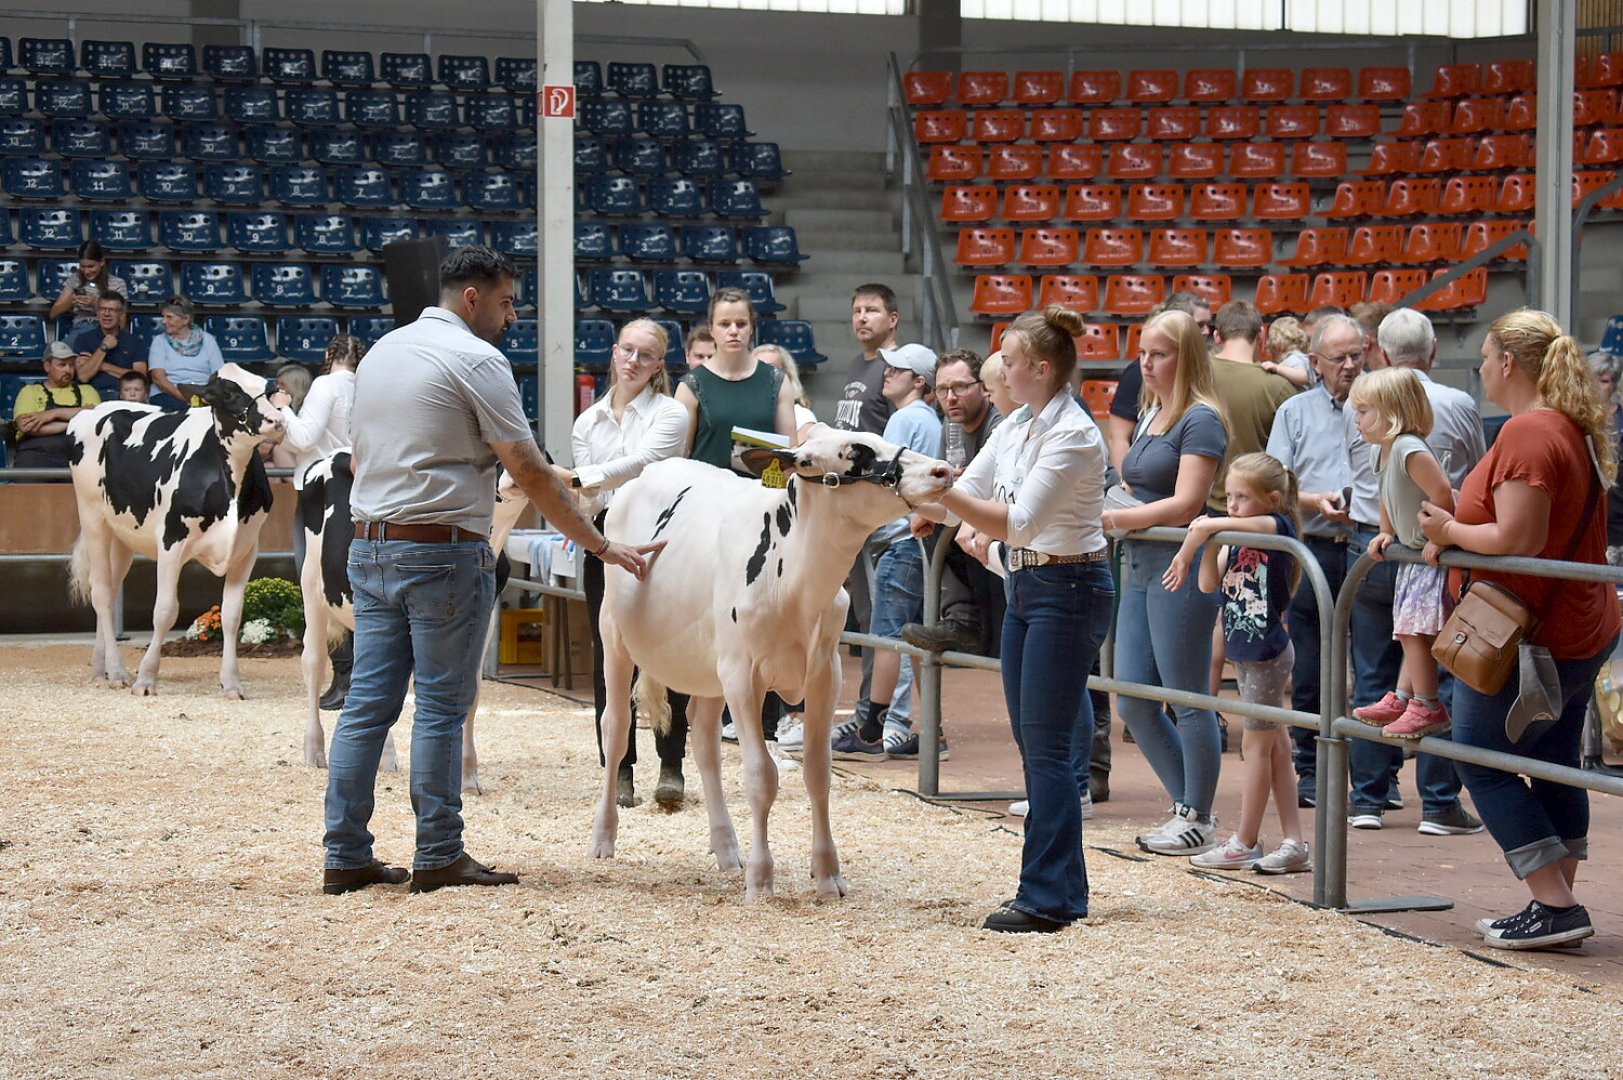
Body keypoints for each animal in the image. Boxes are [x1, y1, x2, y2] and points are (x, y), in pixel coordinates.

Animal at [69, 367, 287, 695]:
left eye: (268, 389)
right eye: (229, 392)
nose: (278, 420)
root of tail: (93, 411)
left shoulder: (247, 548)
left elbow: (232, 615)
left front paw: (231, 683)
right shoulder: (171, 541)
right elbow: (165, 611)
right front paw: (146, 679)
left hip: (122, 534)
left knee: (111, 585)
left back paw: (101, 667)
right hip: (93, 516)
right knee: (102, 593)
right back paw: (118, 671)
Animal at [594, 425, 947, 896]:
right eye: (855, 452)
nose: (942, 469)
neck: (799, 583)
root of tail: (653, 470)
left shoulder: (825, 673)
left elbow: (818, 772)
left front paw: (827, 874)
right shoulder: (744, 676)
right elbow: (761, 776)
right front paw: (762, 880)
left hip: (711, 666)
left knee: (703, 739)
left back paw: (727, 849)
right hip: (614, 636)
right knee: (615, 728)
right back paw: (603, 838)